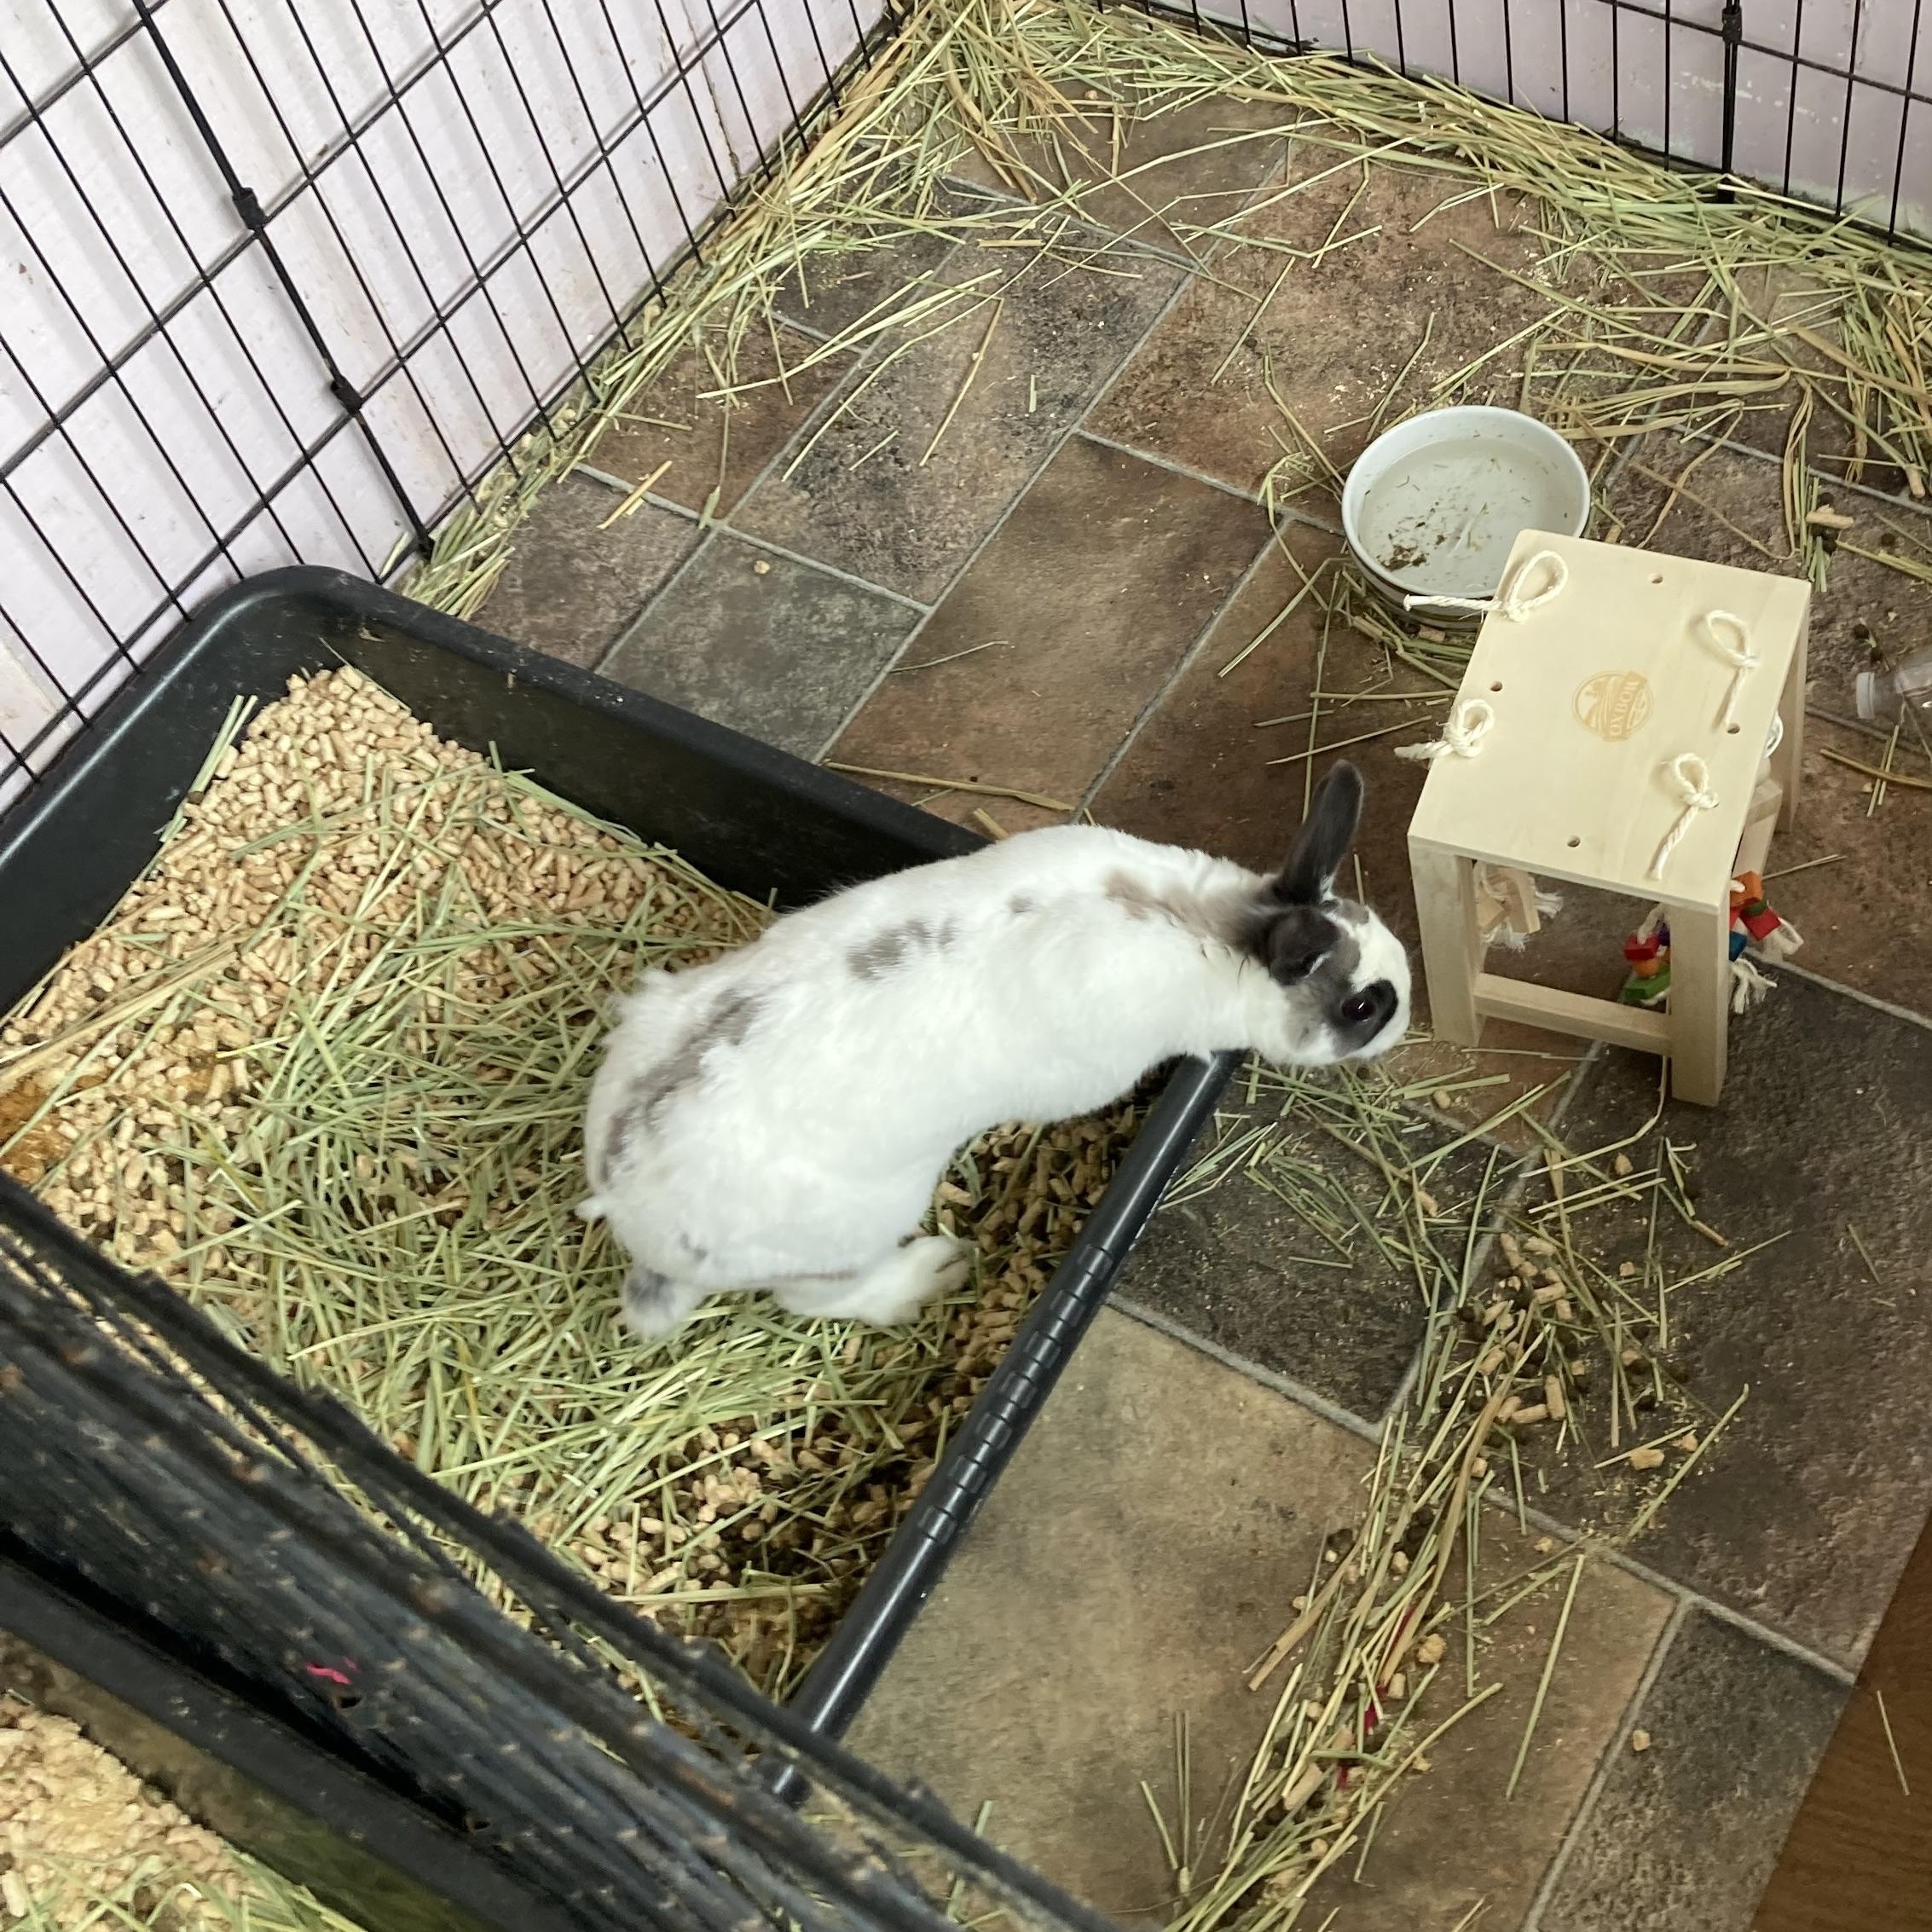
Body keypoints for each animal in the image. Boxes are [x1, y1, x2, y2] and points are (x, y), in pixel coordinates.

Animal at [578, 760, 1408, 1340]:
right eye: (1361, 1006)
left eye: (1371, 918)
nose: (1405, 1010)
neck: (1212, 935)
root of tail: (623, 1201)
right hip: (853, 1232)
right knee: (814, 1297)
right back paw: (929, 1274)